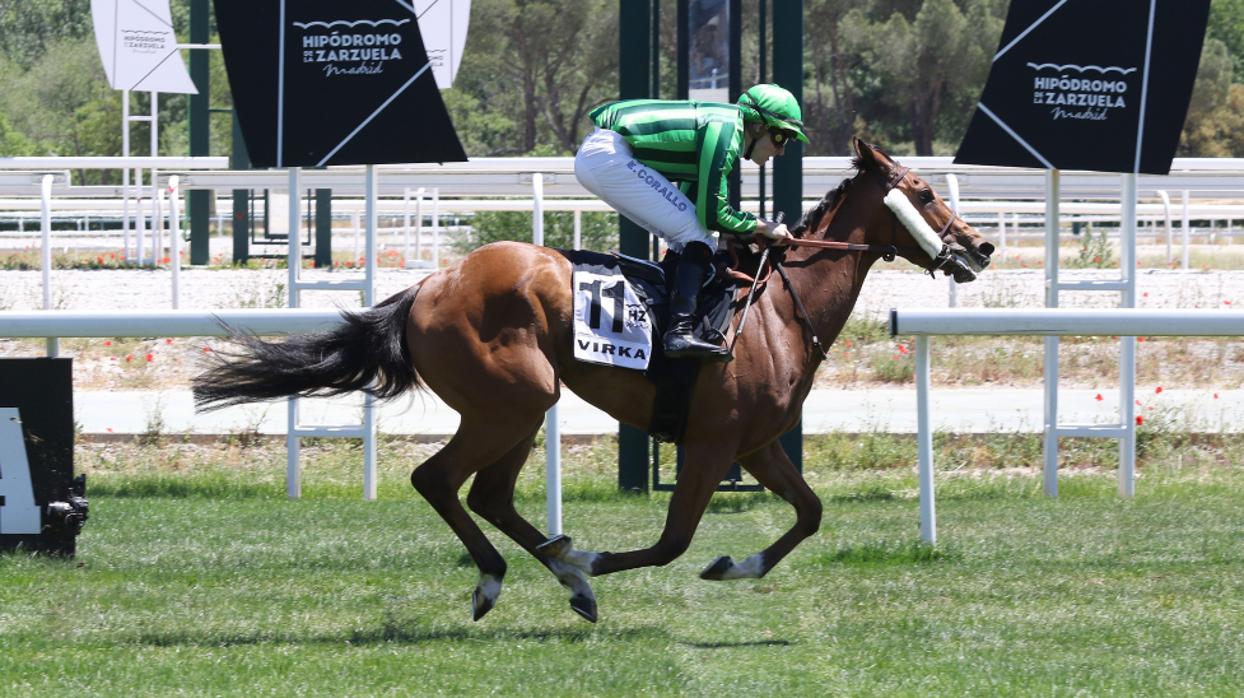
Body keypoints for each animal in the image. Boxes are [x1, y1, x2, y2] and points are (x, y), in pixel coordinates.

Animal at [194, 136, 990, 619]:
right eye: (922, 193)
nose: (979, 246)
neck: (774, 309)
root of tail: (428, 285)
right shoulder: (710, 444)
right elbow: (672, 542)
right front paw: (601, 560)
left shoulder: (757, 445)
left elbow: (811, 513)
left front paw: (735, 566)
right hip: (515, 399)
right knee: (439, 480)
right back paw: (533, 572)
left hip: (515, 408)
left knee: (484, 493)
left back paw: (554, 569)